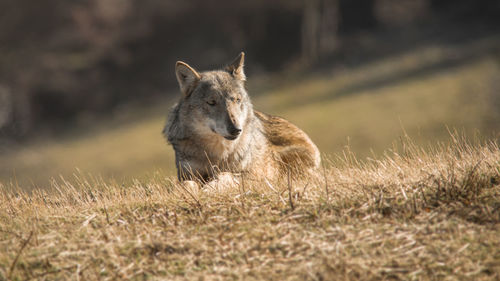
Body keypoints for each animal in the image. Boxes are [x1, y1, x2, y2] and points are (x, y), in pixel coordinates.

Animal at [164, 52, 320, 184]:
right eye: (212, 102)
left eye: (237, 100)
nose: (236, 129)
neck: (217, 156)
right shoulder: (187, 175)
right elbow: (187, 185)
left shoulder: (252, 175)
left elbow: (224, 175)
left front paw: (210, 187)